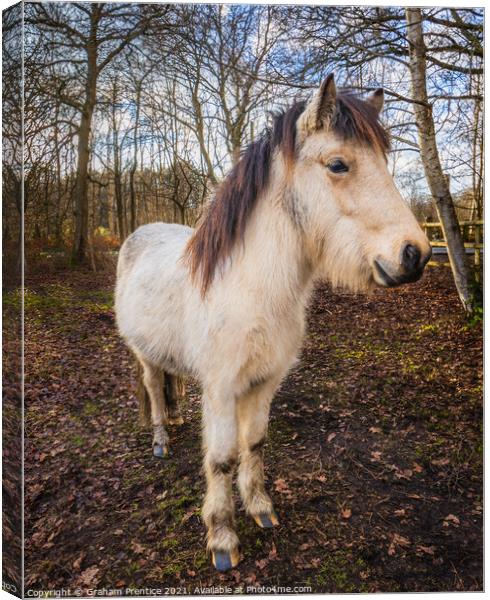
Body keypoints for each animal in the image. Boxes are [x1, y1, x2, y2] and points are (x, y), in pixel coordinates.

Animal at [114, 75, 428, 572]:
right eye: (338, 164)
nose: (415, 254)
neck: (251, 291)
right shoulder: (222, 389)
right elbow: (221, 458)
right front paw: (222, 537)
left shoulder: (265, 382)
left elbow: (255, 443)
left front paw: (260, 507)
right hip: (142, 355)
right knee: (152, 389)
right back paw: (161, 438)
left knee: (168, 383)